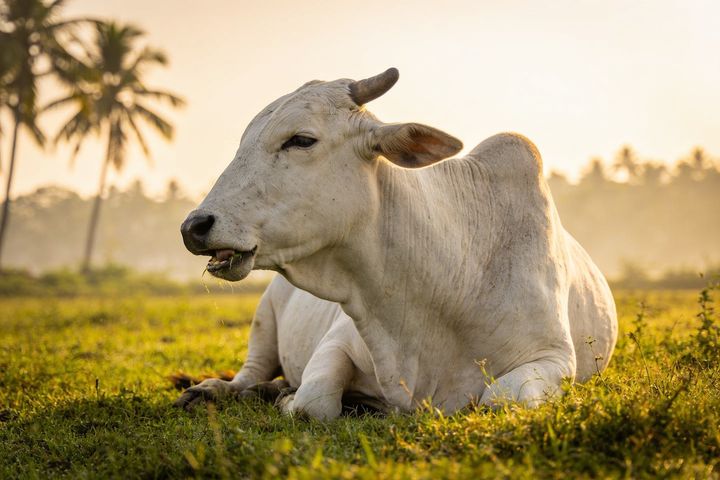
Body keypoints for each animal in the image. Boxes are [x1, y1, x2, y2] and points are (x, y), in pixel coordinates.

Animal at [176, 68, 618, 419]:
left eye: (301, 140)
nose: (194, 226)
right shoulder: (339, 338)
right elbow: (314, 403)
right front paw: (289, 397)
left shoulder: (553, 356)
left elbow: (500, 398)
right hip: (264, 320)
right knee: (248, 373)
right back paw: (219, 389)